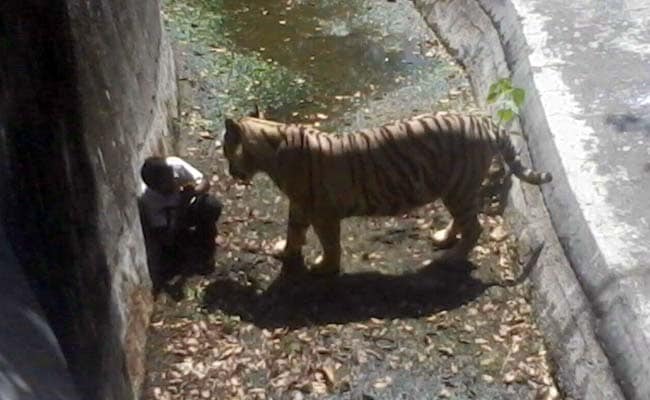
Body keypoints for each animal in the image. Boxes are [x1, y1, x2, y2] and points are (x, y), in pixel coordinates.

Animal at [220, 109, 548, 276]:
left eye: (225, 149)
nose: (230, 172)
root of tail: (485, 121)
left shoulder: (323, 213)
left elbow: (330, 243)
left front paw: (325, 267)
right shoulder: (300, 205)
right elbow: (294, 230)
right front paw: (286, 251)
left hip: (459, 188)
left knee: (475, 227)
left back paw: (450, 258)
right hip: (454, 189)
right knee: (464, 221)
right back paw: (443, 238)